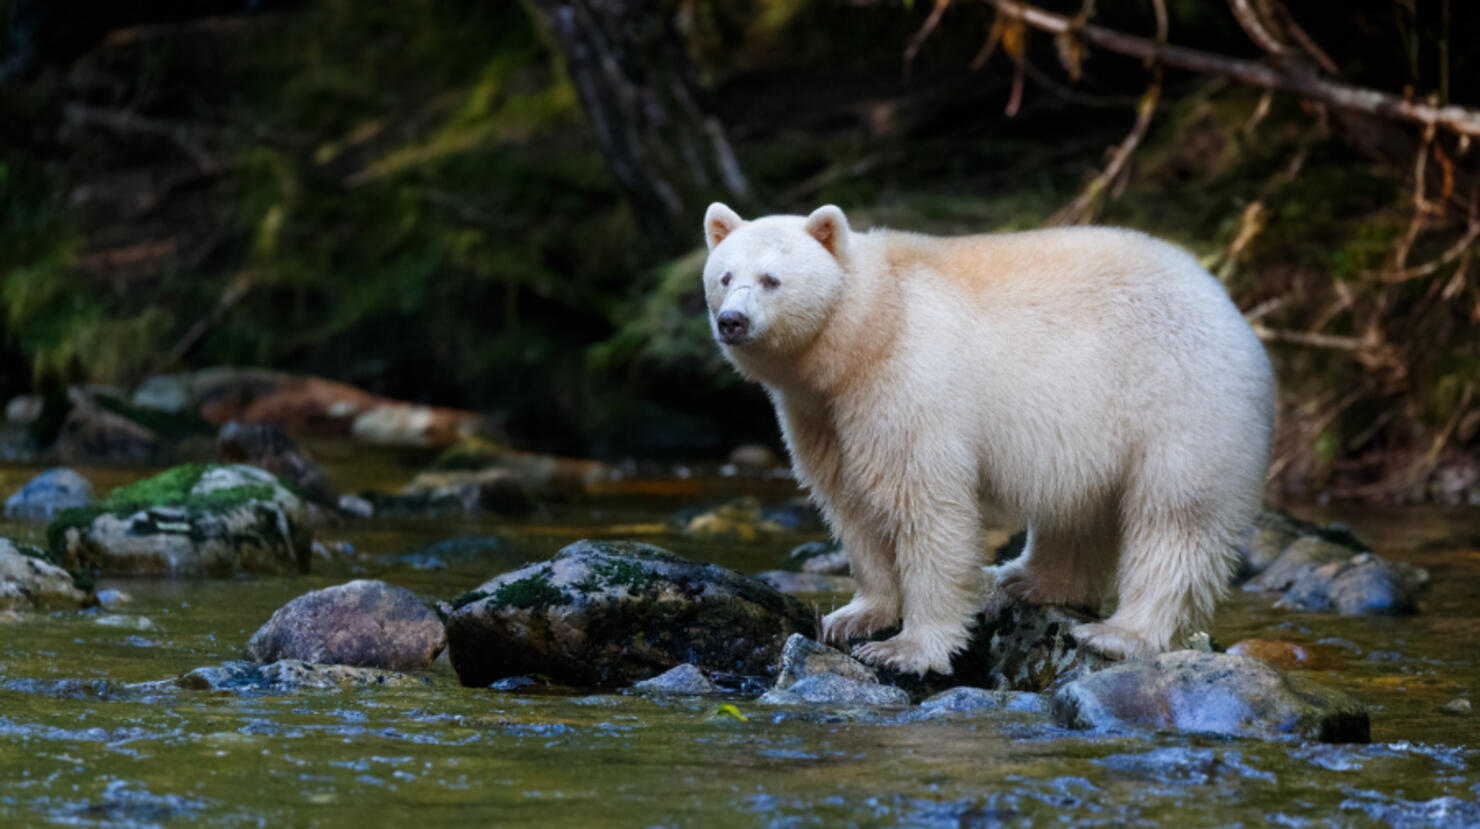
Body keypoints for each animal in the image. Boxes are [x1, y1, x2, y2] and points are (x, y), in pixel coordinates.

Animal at [701, 204, 1272, 678]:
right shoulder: (821, 415)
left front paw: (907, 649)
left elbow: (924, 505)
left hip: (1178, 399)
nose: (732, 320)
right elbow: (852, 504)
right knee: (1078, 512)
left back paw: (1119, 633)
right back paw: (1026, 579)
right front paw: (855, 616)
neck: (868, 326)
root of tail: (1227, 304)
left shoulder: (905, 383)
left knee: (1176, 516)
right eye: (724, 276)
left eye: (772, 279)